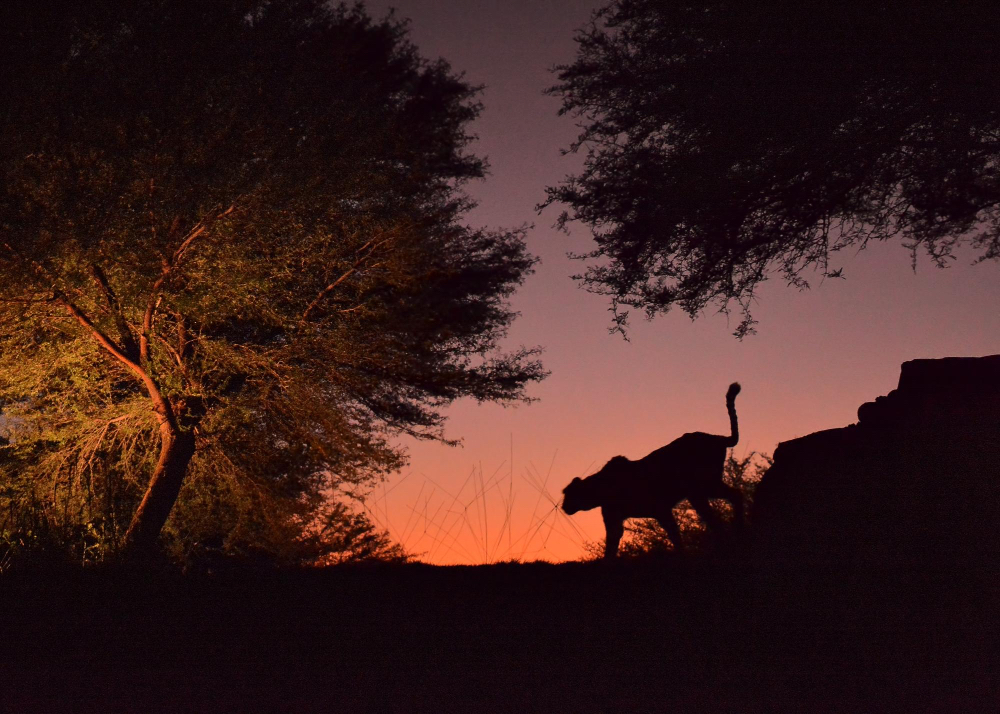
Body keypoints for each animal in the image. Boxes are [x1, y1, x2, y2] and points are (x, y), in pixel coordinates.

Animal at [564, 384, 744, 556]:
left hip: (702, 487)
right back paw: (733, 537)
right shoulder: (617, 520)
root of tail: (718, 438)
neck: (600, 488)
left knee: (727, 504)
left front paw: (682, 554)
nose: (564, 506)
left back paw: (734, 536)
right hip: (702, 489)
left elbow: (675, 536)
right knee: (728, 503)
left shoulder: (661, 509)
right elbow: (610, 549)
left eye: (567, 494)